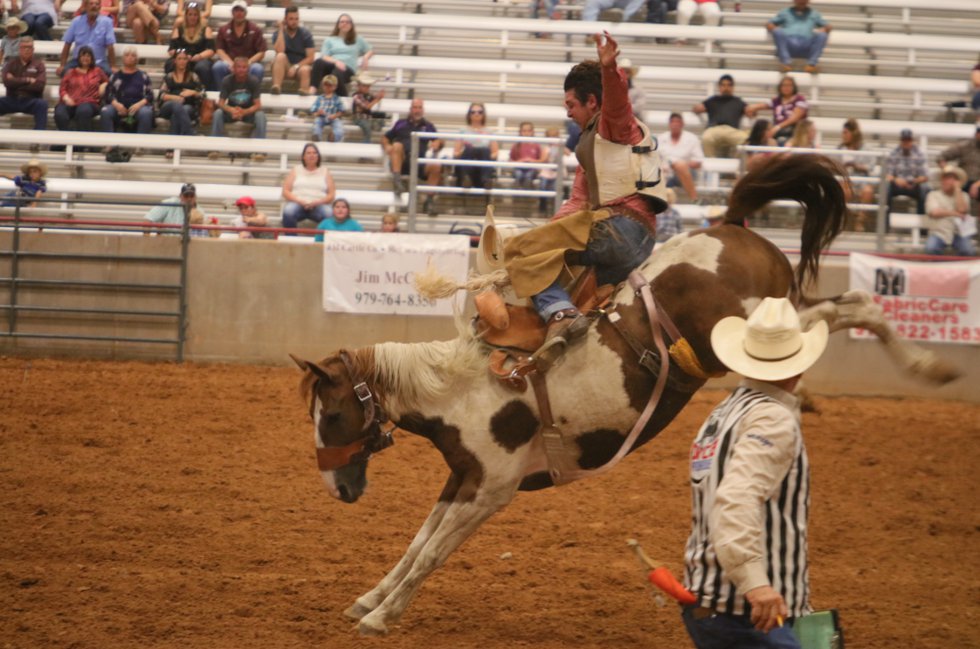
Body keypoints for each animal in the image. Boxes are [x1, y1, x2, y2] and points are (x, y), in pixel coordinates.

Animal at [292, 154, 956, 636]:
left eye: (334, 414)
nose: (337, 488)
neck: (461, 389)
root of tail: (732, 227)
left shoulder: (492, 490)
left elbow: (433, 552)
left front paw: (382, 617)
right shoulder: (462, 477)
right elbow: (418, 542)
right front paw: (370, 598)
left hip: (753, 324)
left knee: (854, 308)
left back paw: (929, 367)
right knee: (851, 304)